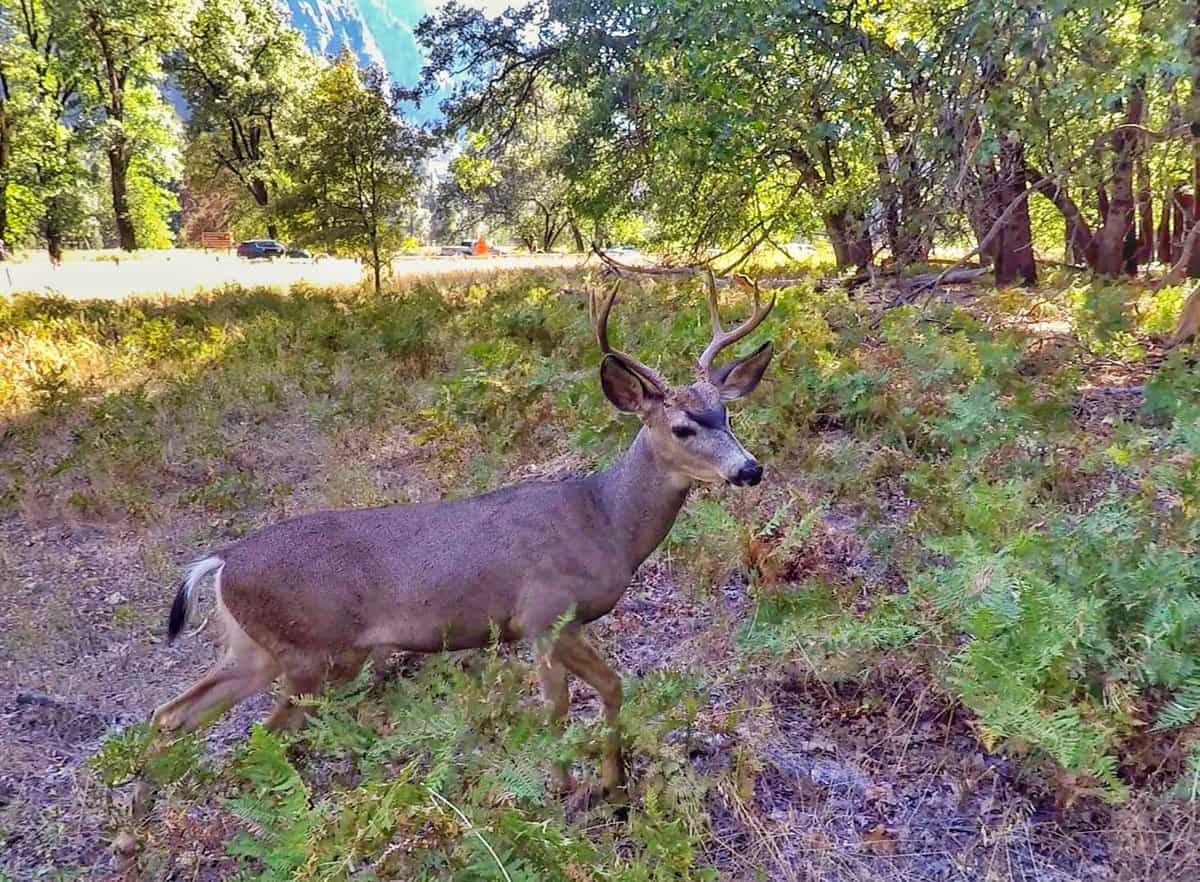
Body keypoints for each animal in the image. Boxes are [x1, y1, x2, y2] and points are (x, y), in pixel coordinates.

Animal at [151, 272, 776, 801]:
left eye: (727, 415)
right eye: (682, 427)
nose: (749, 470)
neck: (604, 522)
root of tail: (223, 559)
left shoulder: (555, 624)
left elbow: (601, 691)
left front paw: (609, 785)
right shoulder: (543, 614)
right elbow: (565, 703)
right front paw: (571, 788)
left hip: (256, 648)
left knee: (172, 715)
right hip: (317, 653)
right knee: (266, 734)